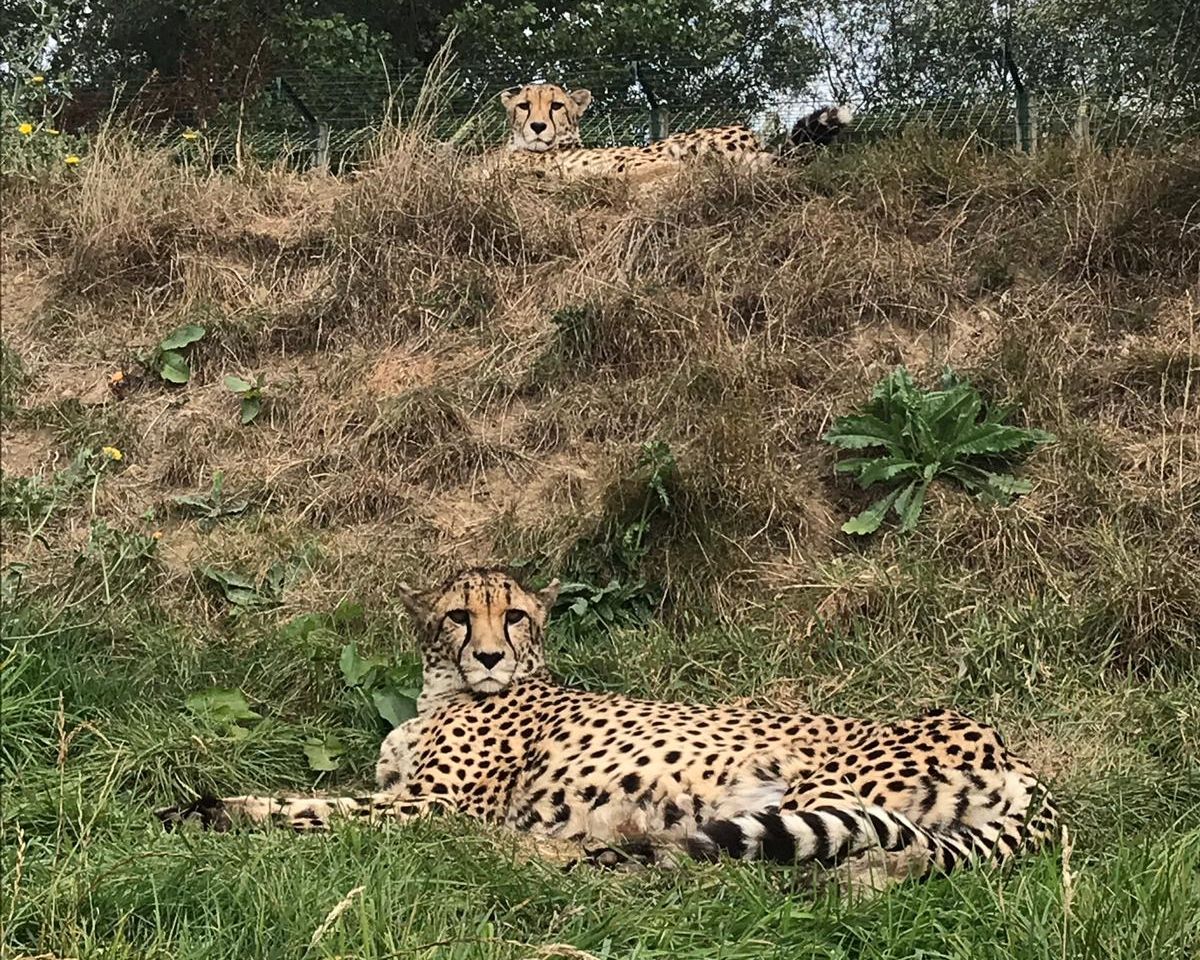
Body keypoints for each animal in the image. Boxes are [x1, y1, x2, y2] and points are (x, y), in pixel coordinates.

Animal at [159, 567, 1058, 888]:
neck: (442, 690)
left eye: (515, 616)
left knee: (770, 870)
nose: (489, 656)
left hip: (816, 785)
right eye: (457, 616)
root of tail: (1008, 747)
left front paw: (213, 818)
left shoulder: (429, 806)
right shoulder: (404, 792)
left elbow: (317, 814)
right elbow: (315, 797)